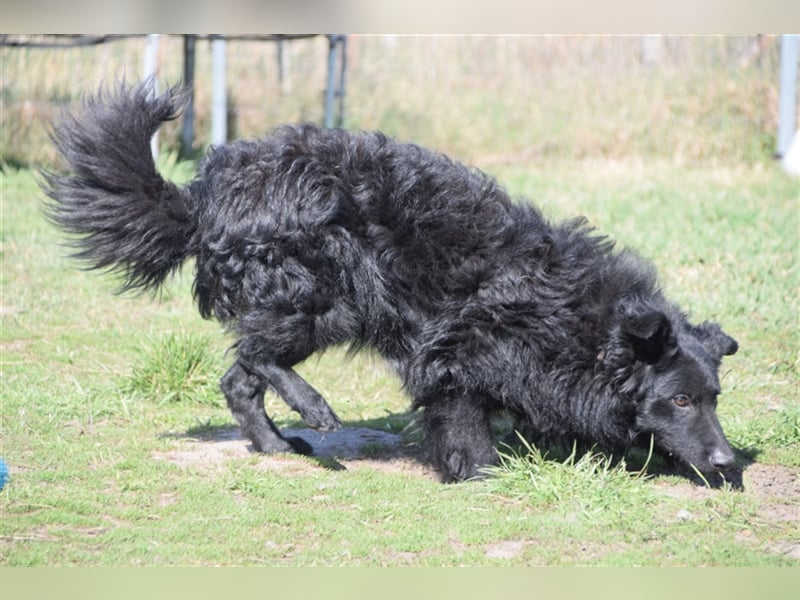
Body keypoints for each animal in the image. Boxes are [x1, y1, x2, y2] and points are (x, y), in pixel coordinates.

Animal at [42, 81, 736, 482]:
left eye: (713, 399)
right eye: (680, 400)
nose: (728, 460)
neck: (576, 317)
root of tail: (205, 195)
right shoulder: (457, 351)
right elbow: (461, 417)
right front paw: (481, 472)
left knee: (239, 376)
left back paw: (275, 446)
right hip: (319, 290)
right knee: (258, 353)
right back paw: (314, 407)